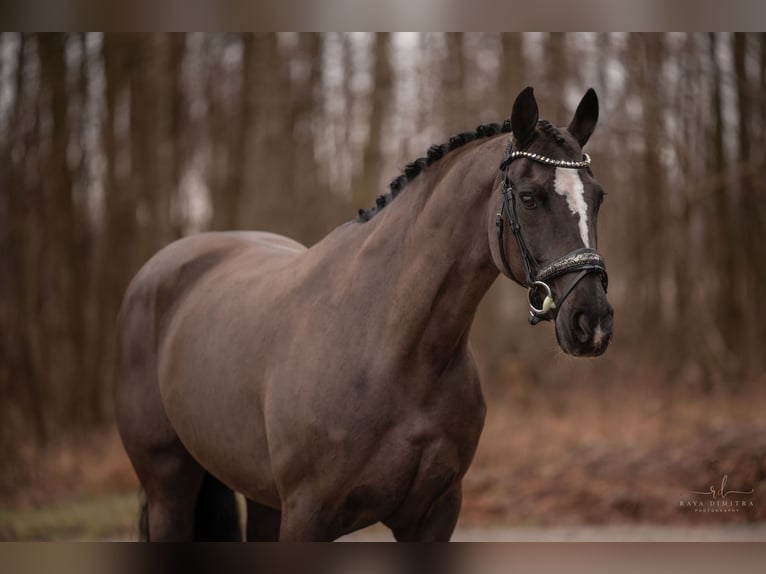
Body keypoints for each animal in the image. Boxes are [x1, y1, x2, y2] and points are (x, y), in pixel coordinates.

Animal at [114, 88, 616, 544]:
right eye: (529, 198)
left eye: (598, 197)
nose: (591, 322)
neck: (391, 347)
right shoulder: (307, 517)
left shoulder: (434, 515)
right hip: (168, 490)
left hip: (260, 498)